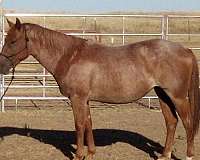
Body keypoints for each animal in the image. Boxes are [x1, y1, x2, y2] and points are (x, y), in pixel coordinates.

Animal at [0, 18, 199, 159]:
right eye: (7, 39)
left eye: (13, 41)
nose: (2, 67)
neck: (69, 56)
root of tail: (186, 50)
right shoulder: (85, 99)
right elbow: (88, 123)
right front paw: (90, 153)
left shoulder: (77, 98)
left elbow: (79, 124)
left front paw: (79, 155)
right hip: (162, 94)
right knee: (171, 122)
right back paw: (164, 155)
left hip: (178, 96)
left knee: (188, 123)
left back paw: (189, 155)